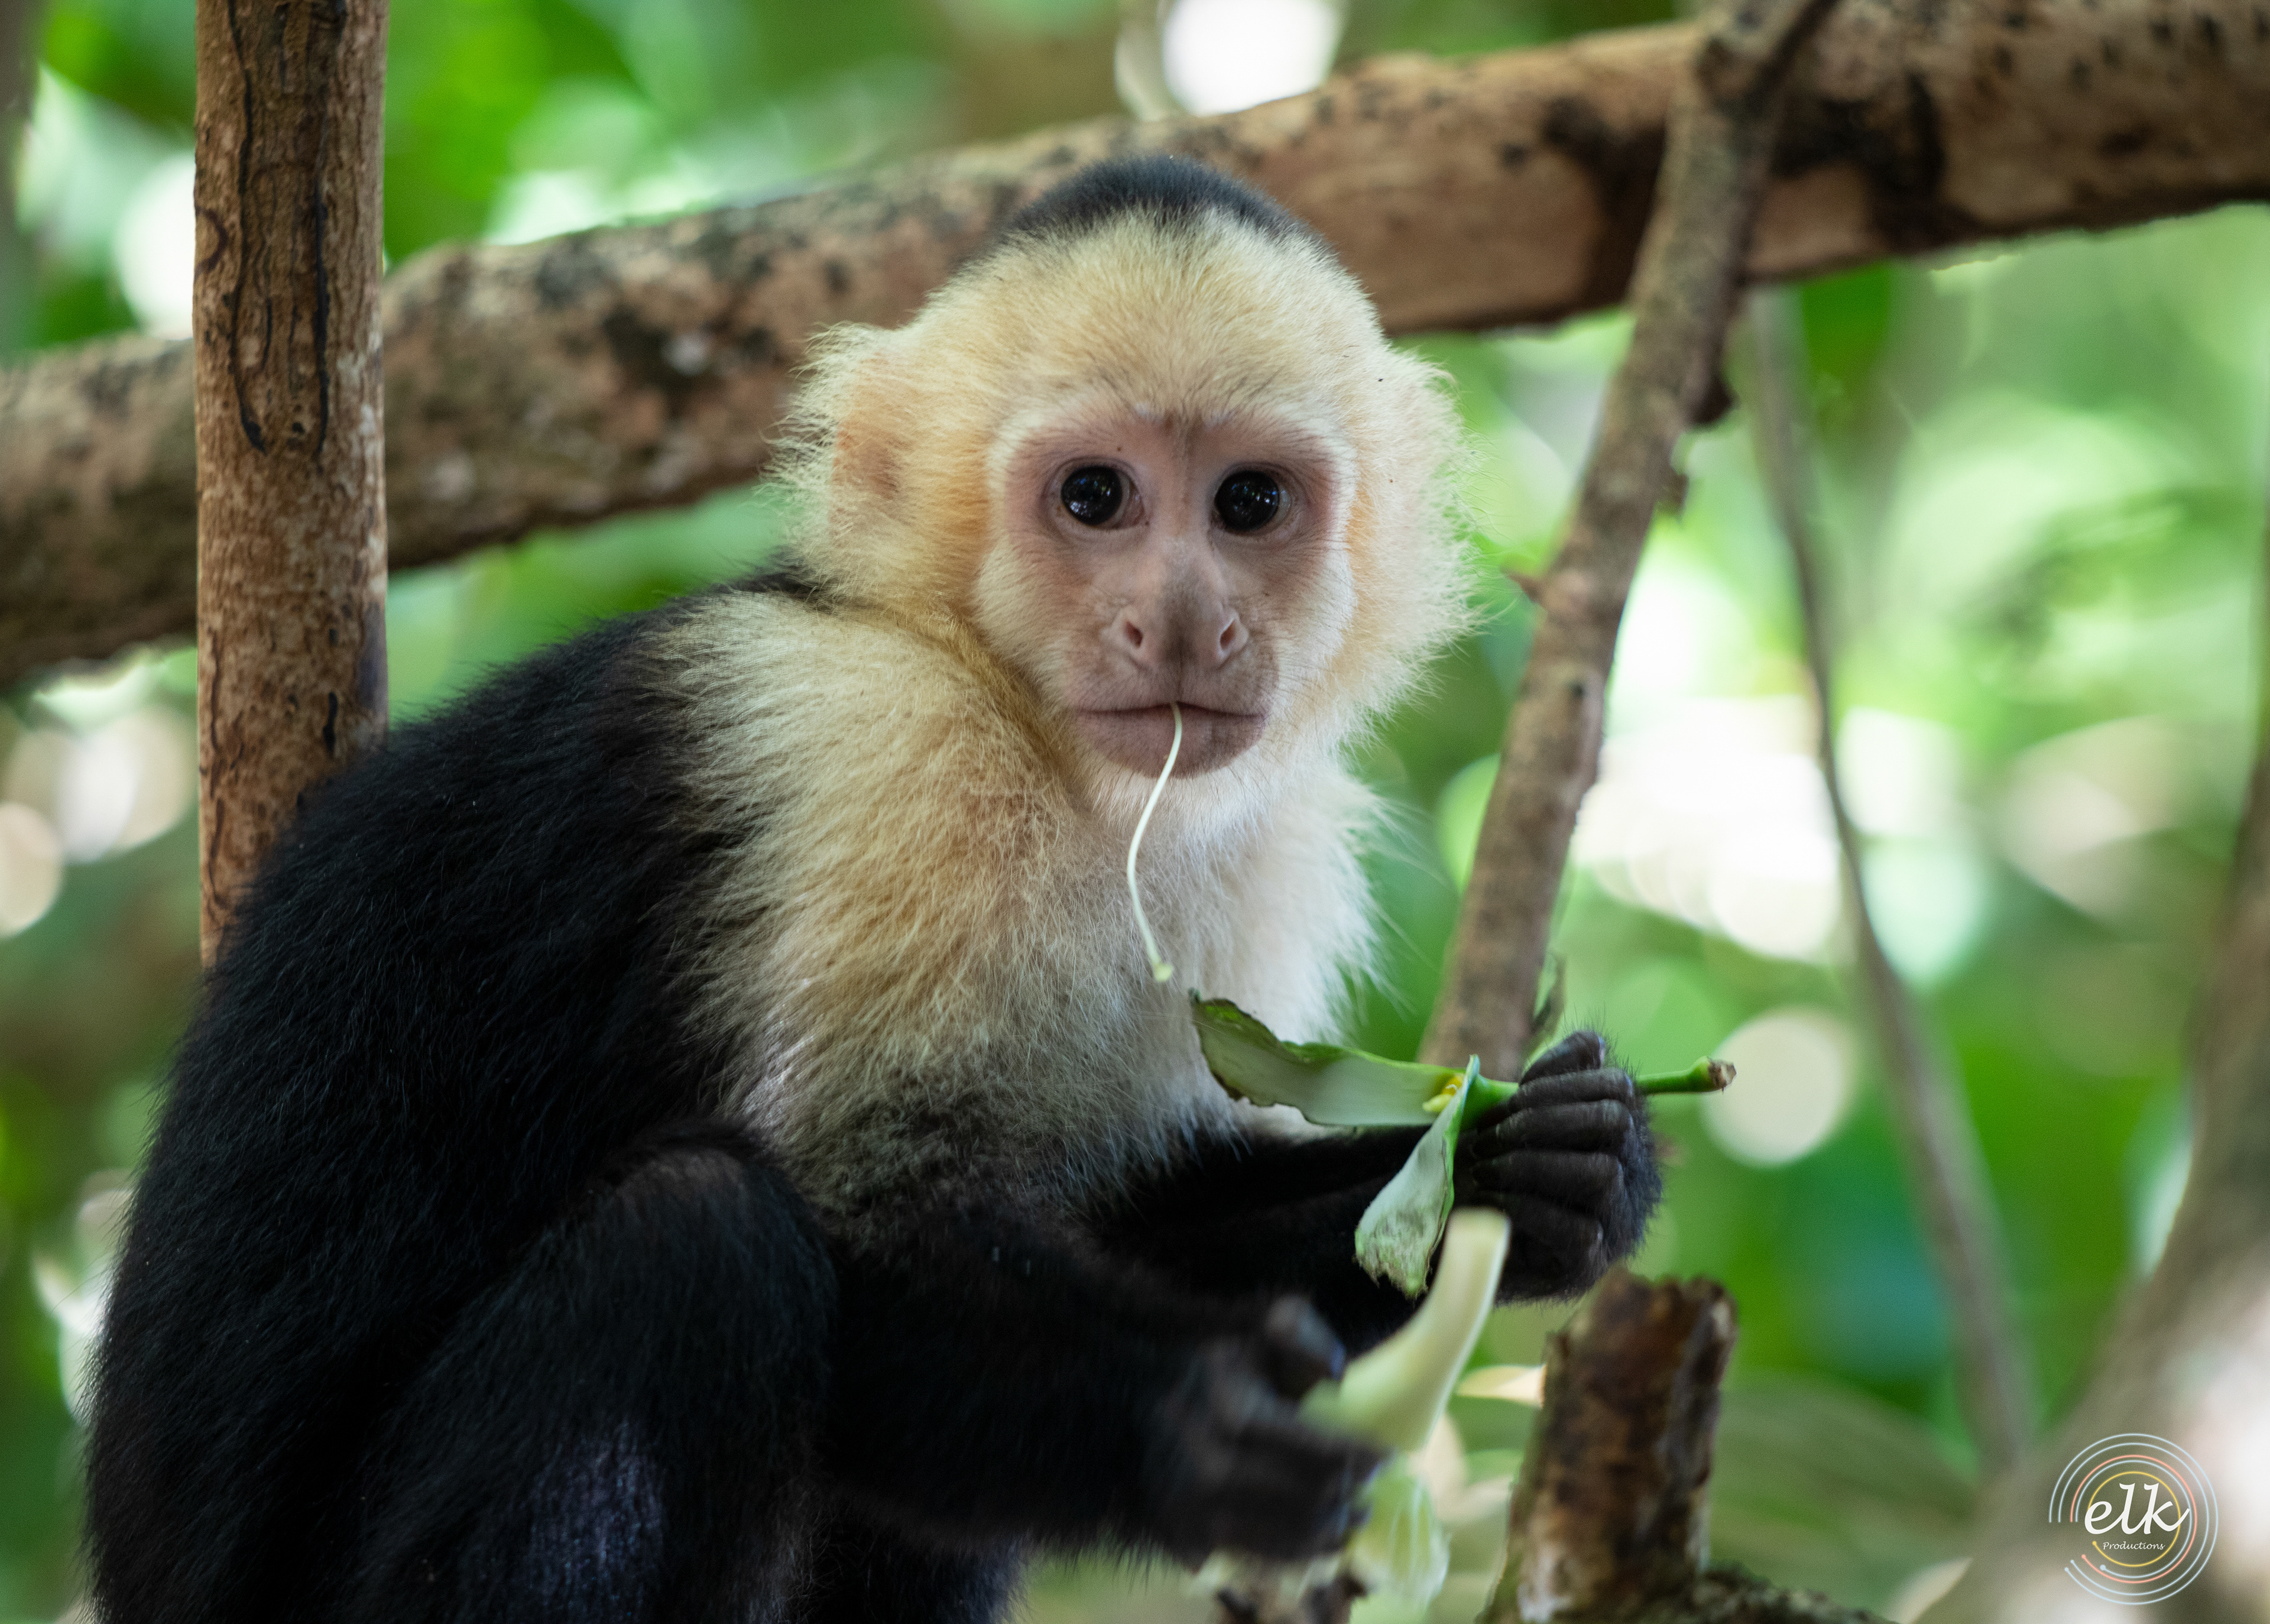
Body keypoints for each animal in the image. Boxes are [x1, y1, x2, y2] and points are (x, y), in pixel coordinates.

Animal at [84, 157, 1659, 1624]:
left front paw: (1536, 1163)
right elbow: (864, 1230)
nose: (1184, 620)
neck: (1034, 741)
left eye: (1250, 502)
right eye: (1095, 496)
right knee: (696, 1243)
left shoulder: (1255, 857)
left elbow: (1109, 1215)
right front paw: (1189, 1424)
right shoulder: (874, 751)